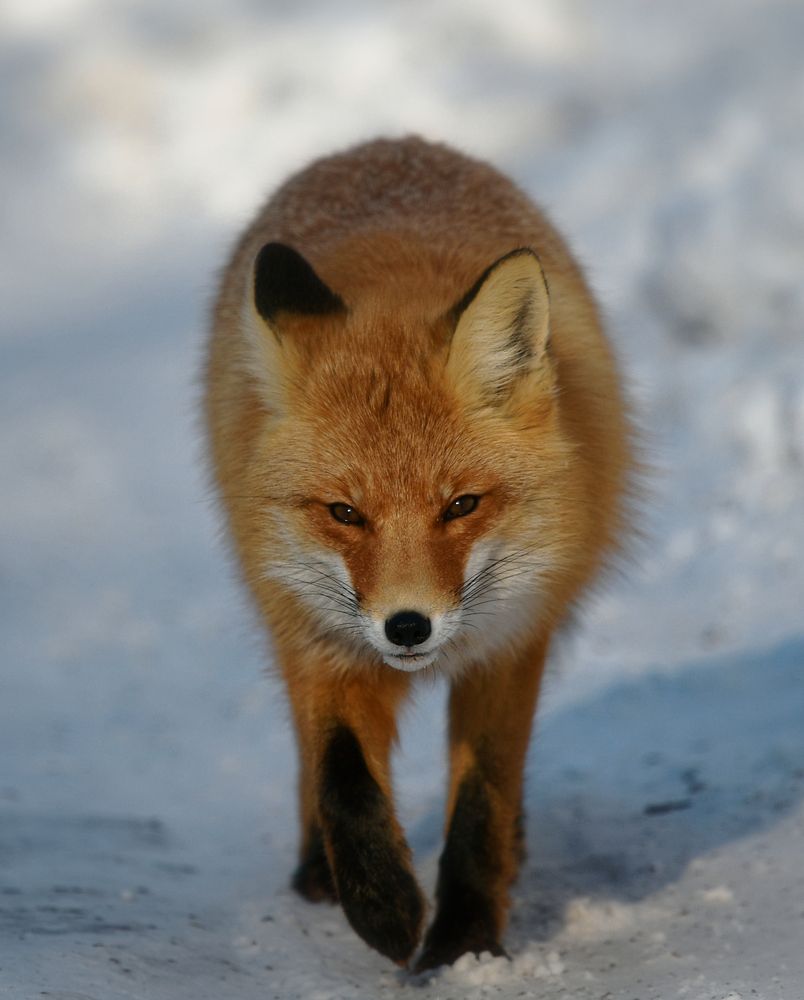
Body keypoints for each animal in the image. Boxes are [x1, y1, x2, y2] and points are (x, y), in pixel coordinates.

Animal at [203, 136, 633, 971]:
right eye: (345, 514)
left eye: (460, 505)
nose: (408, 627)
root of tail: (385, 142)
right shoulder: (321, 639)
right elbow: (342, 777)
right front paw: (383, 908)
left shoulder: (510, 645)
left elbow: (482, 801)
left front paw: (463, 942)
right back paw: (317, 869)